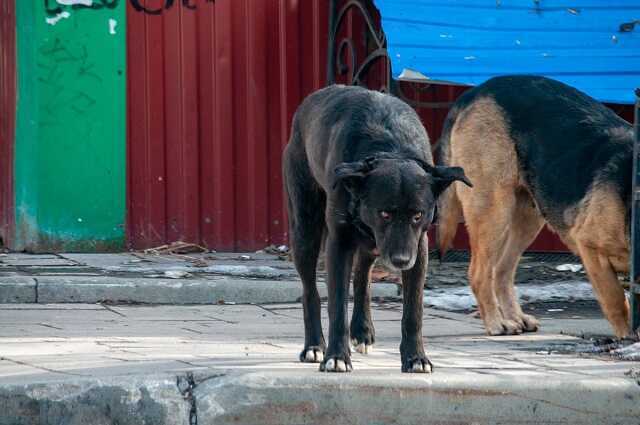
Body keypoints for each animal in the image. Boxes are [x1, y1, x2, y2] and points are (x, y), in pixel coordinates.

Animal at [282, 85, 472, 372]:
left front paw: (416, 358)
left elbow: (413, 311)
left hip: (371, 245)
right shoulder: (339, 243)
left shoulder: (419, 247)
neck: (390, 148)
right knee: (310, 291)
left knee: (362, 276)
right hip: (305, 229)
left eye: (417, 215)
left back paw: (362, 331)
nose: (401, 261)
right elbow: (337, 306)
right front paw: (336, 356)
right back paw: (314, 346)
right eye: (384, 213)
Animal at [438, 74, 632, 336]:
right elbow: (616, 301)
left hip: (528, 217)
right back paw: (496, 323)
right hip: (494, 209)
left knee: (501, 271)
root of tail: (475, 91)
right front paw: (628, 336)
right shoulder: (591, 247)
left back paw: (515, 317)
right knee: (480, 273)